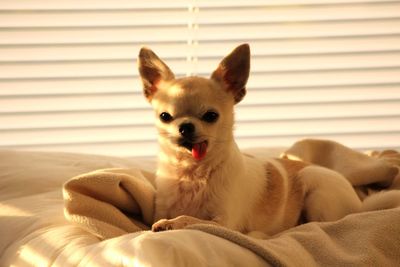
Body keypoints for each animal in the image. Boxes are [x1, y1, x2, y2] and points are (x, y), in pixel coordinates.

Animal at [139, 44, 364, 239]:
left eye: (211, 116)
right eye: (165, 116)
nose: (185, 126)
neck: (192, 173)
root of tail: (360, 202)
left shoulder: (224, 224)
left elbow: (189, 218)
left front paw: (171, 223)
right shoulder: (162, 208)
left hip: (315, 187)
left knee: (322, 224)